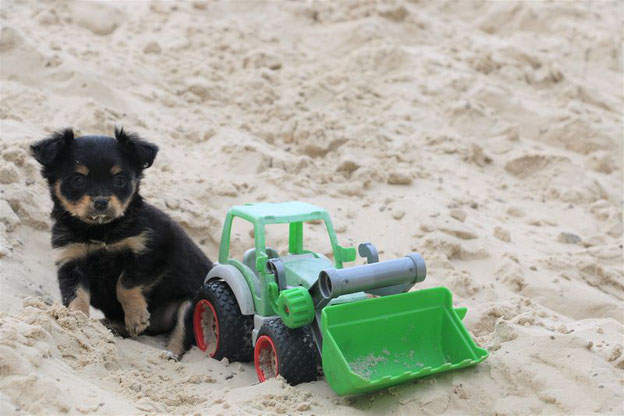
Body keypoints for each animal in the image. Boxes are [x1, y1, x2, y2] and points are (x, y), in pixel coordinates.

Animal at [31, 127, 212, 358]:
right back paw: (114, 326)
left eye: (119, 180)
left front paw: (136, 316)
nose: (101, 202)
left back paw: (168, 354)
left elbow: (125, 284)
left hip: (191, 303)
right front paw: (77, 322)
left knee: (181, 333)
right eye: (78, 179)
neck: (100, 230)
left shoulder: (147, 252)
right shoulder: (70, 261)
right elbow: (76, 295)